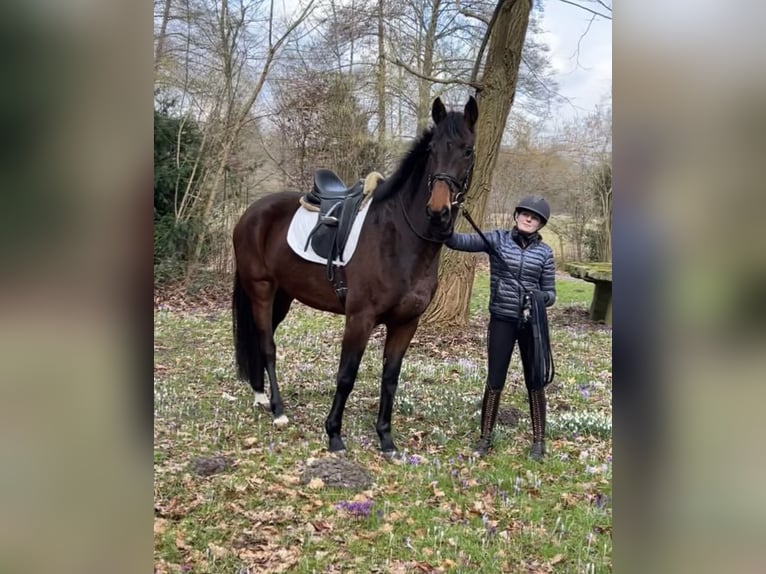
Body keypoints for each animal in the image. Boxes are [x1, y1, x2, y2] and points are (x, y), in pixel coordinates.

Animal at [231, 97, 476, 456]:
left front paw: (386, 438)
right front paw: (334, 434)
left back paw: (260, 396)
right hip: (261, 290)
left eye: (468, 151)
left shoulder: (406, 323)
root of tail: (250, 214)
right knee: (267, 345)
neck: (400, 237)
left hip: (283, 295)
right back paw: (278, 410)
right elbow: (346, 375)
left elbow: (390, 377)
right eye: (432, 149)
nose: (437, 211)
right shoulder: (360, 318)